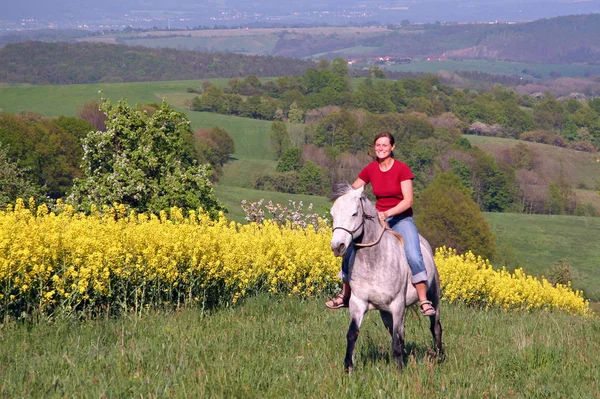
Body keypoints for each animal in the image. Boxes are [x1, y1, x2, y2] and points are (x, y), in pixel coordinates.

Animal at [330, 184, 442, 372]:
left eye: (354, 213)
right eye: (333, 214)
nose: (337, 246)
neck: (373, 260)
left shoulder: (397, 305)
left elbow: (396, 342)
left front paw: (399, 372)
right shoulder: (358, 303)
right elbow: (352, 334)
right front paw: (348, 368)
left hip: (433, 297)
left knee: (435, 327)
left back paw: (441, 358)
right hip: (386, 313)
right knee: (399, 334)